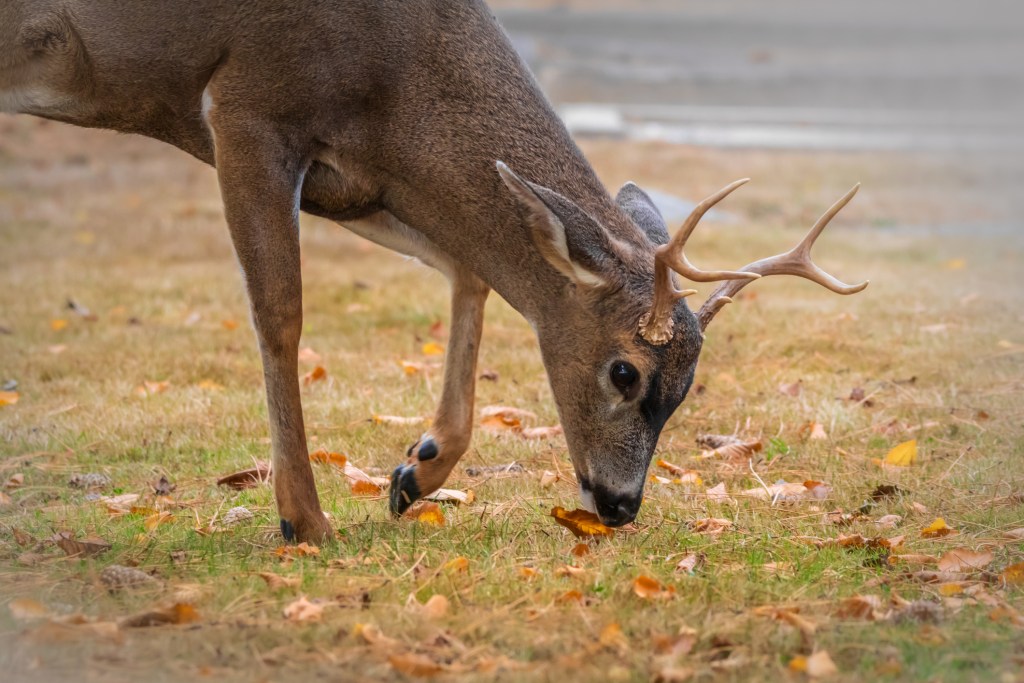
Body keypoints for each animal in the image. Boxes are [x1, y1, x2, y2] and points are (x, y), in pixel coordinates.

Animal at [0, 1, 864, 544]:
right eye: (625, 371)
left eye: (687, 388)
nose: (620, 504)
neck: (398, 76)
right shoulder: (247, 107)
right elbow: (280, 313)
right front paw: (304, 519)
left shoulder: (363, 180)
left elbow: (470, 270)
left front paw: (416, 472)